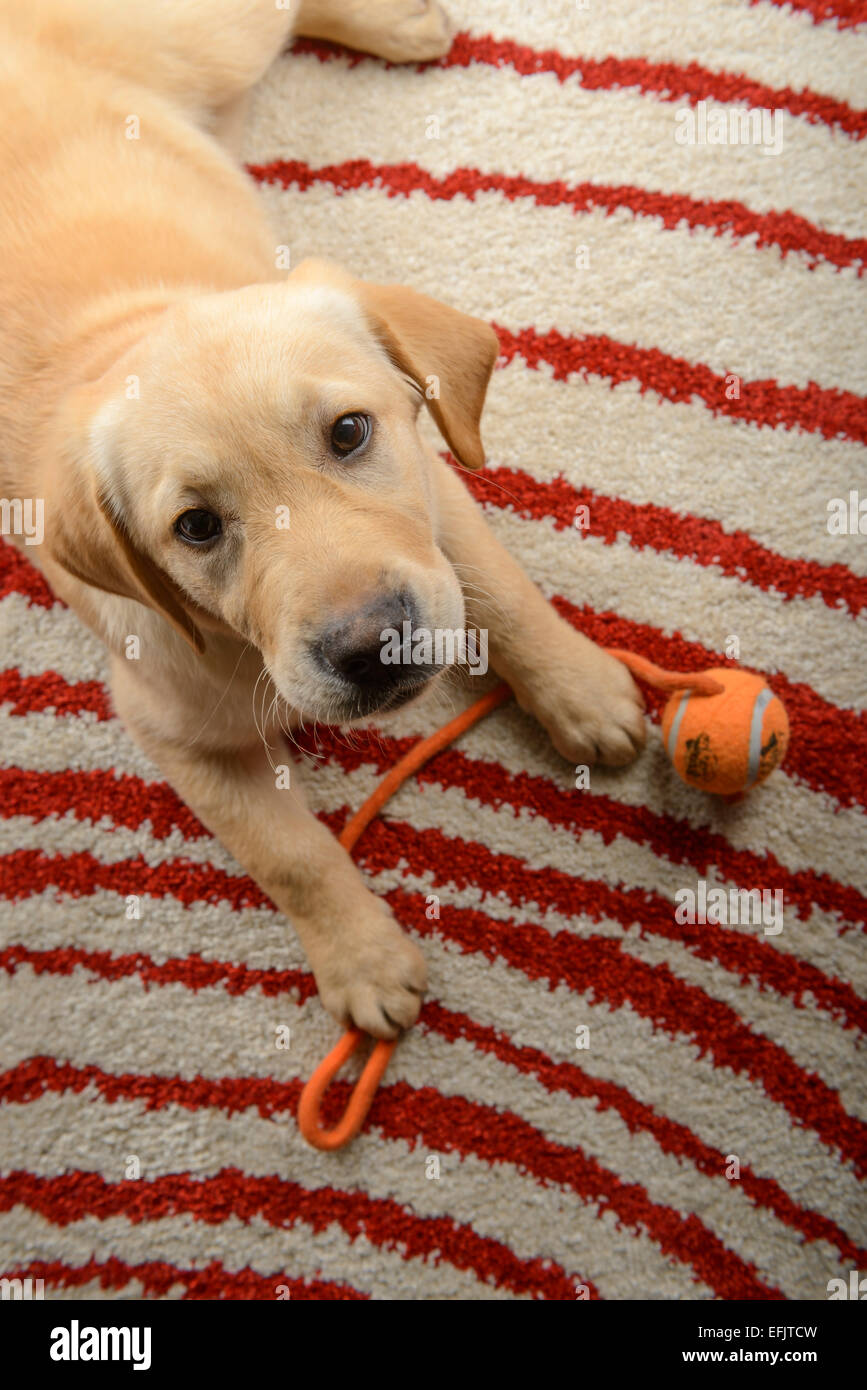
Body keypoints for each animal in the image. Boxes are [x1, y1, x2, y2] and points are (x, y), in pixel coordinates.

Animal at [0, 0, 644, 1034]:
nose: (371, 648)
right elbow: (291, 855)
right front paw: (361, 961)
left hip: (212, 44)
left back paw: (400, 24)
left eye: (348, 433)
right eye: (195, 528)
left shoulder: (436, 488)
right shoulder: (169, 725)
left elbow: (502, 595)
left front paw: (581, 691)